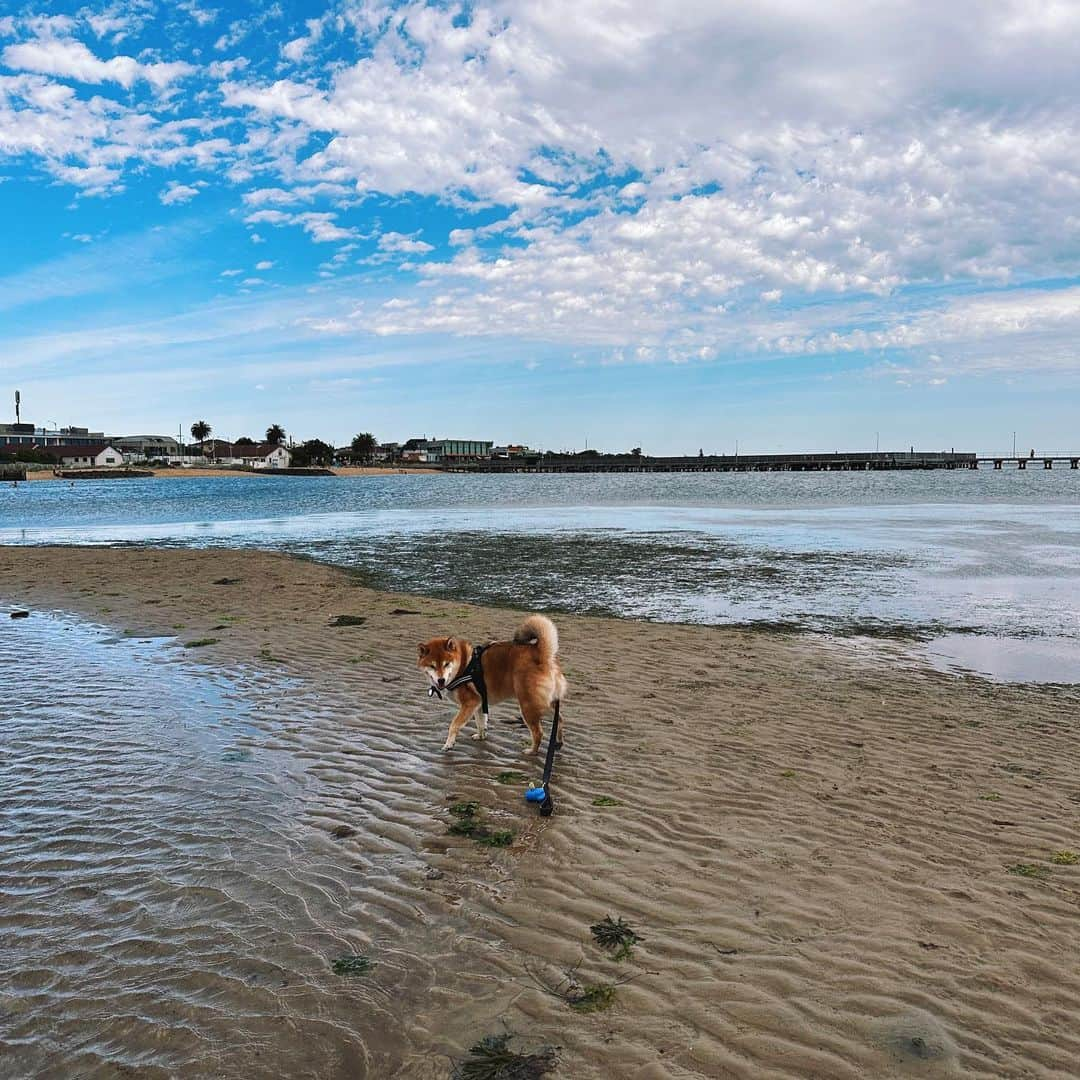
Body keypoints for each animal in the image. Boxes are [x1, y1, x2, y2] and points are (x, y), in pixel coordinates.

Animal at [414, 613, 570, 756]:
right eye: (432, 666)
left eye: (446, 664)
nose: (440, 680)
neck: (463, 666)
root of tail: (542, 655)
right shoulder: (478, 703)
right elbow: (481, 723)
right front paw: (481, 736)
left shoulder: (470, 702)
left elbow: (454, 724)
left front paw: (448, 744)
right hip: (542, 702)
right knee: (560, 719)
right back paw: (558, 742)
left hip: (528, 705)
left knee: (538, 733)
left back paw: (532, 751)